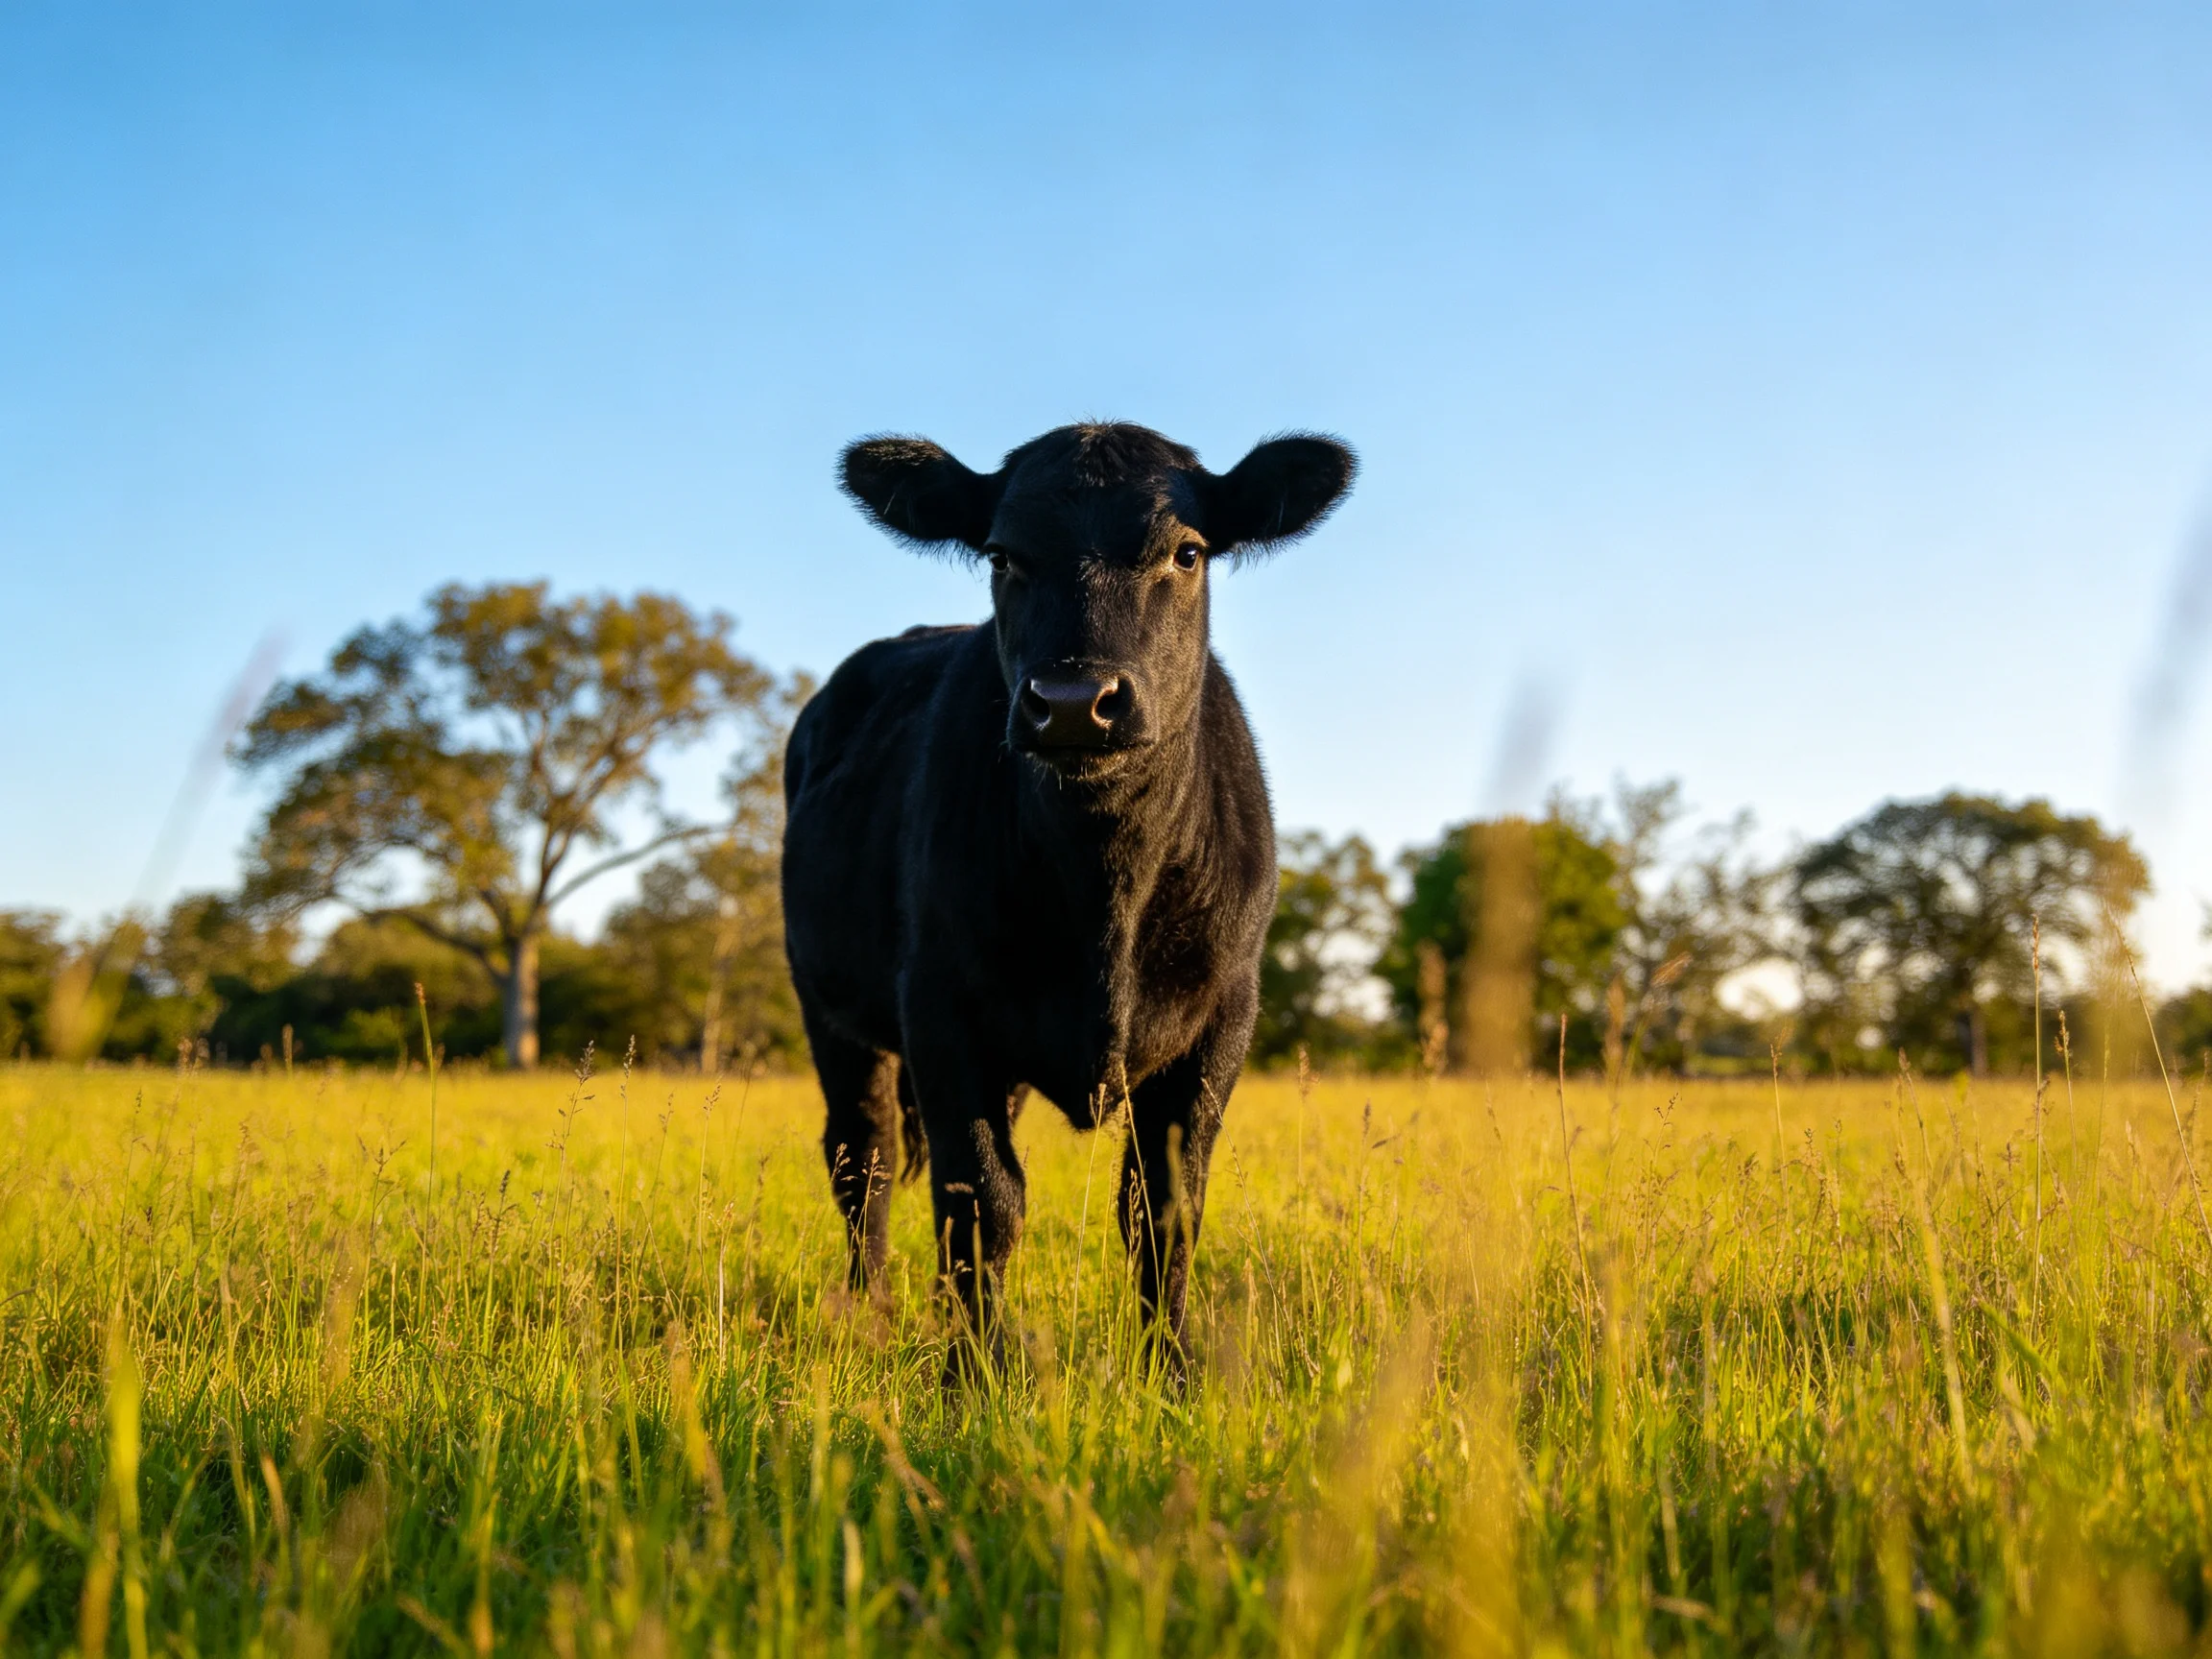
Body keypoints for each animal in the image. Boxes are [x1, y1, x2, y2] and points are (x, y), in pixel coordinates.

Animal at [781, 421, 1356, 1375]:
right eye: (1003, 555)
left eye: (1187, 551)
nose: (1075, 703)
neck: (1104, 892)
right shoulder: (938, 1007)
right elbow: (983, 1199)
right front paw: (974, 1375)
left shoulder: (1224, 1016)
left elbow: (1164, 1208)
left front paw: (1172, 1372)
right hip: (830, 1009)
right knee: (864, 1156)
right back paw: (870, 1311)